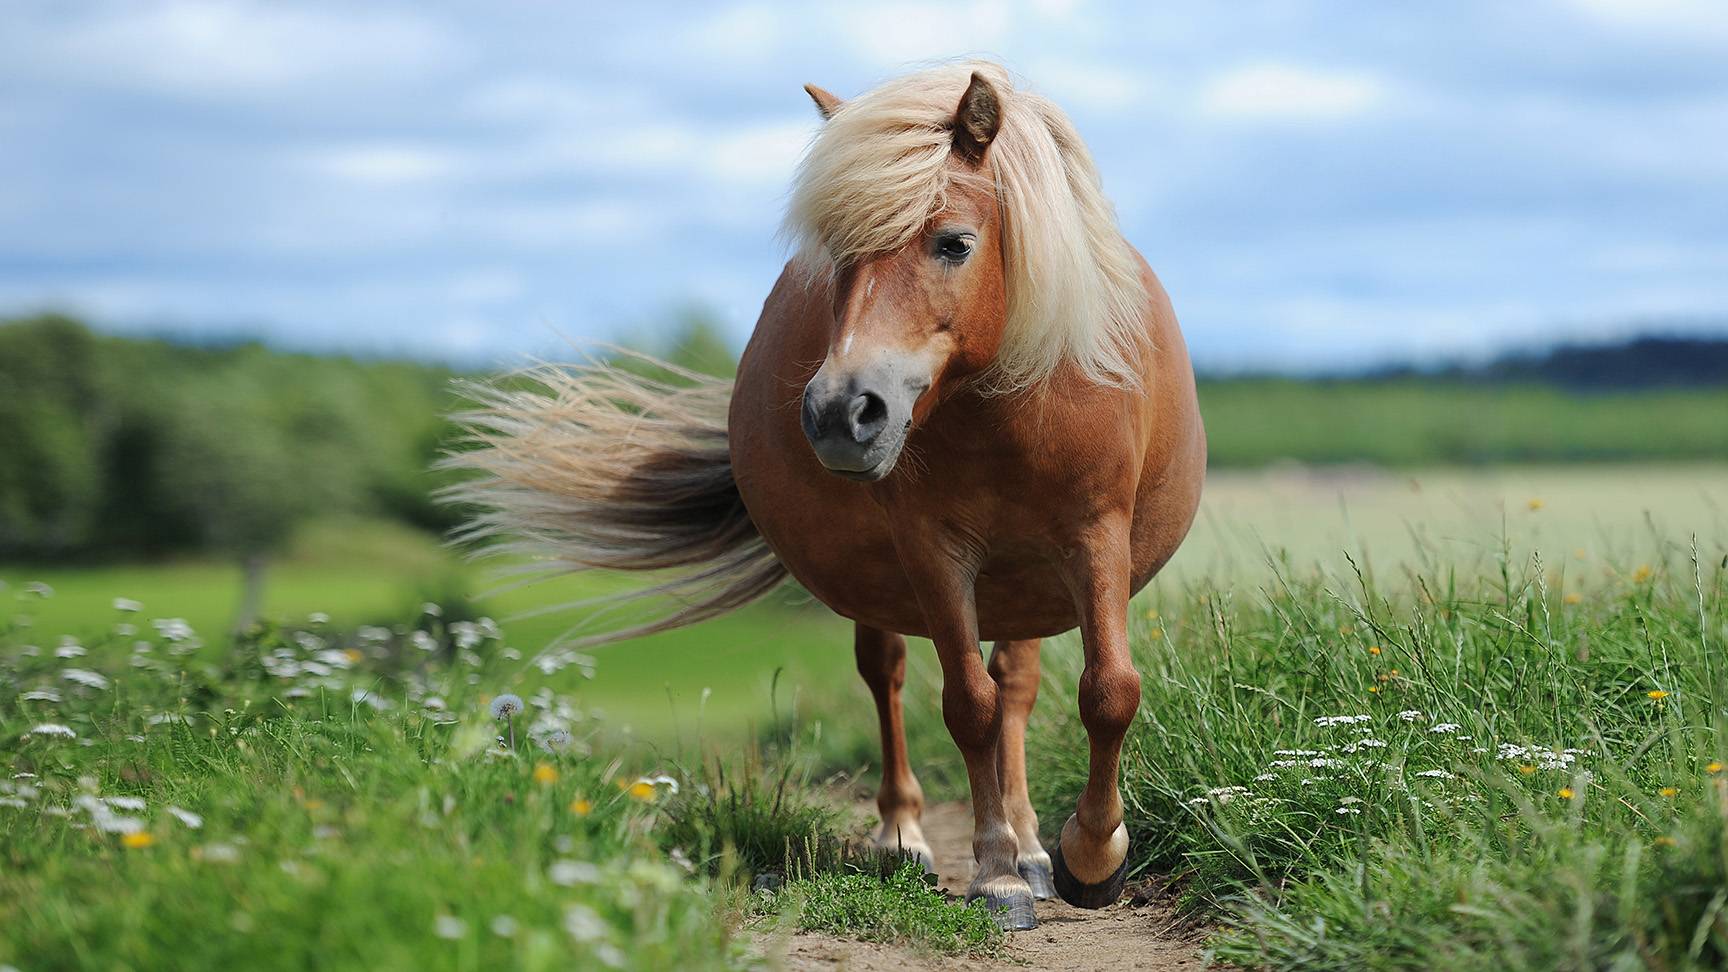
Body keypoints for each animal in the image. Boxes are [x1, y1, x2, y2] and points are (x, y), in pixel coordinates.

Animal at [449, 61, 1206, 931]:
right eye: (838, 256)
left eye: (954, 243)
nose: (843, 412)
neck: (1009, 406)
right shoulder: (934, 552)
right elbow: (968, 705)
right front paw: (996, 876)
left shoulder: (1094, 536)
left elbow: (1108, 692)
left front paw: (1089, 857)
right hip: (893, 585)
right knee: (891, 677)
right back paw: (911, 839)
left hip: (1026, 583)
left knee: (1017, 685)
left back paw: (1032, 847)